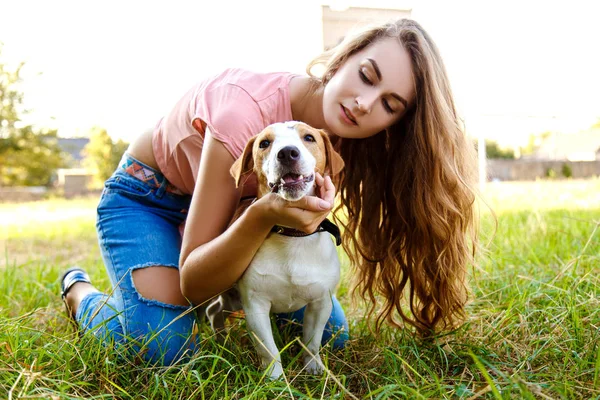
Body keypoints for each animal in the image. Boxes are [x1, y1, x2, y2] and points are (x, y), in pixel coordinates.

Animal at [209, 121, 344, 378]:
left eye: (309, 137)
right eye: (264, 143)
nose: (288, 153)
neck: (292, 237)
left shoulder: (321, 303)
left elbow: (312, 341)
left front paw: (313, 367)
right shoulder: (255, 306)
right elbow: (269, 351)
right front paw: (275, 379)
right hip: (233, 298)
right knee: (214, 311)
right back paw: (219, 341)